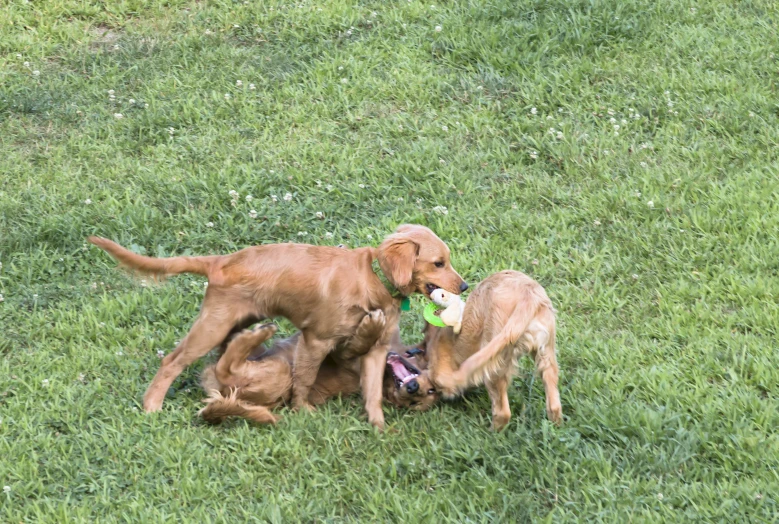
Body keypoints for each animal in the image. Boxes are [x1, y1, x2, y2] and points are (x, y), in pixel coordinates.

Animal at [198, 310, 438, 424]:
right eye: (431, 389)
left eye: (415, 403)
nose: (413, 389)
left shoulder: (344, 355)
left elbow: (360, 342)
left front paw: (371, 326)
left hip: (281, 374)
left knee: (224, 367)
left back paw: (259, 332)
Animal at [424, 270, 564, 430]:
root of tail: (528, 294)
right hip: (546, 351)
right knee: (554, 404)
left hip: (494, 365)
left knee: (503, 413)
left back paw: (490, 432)